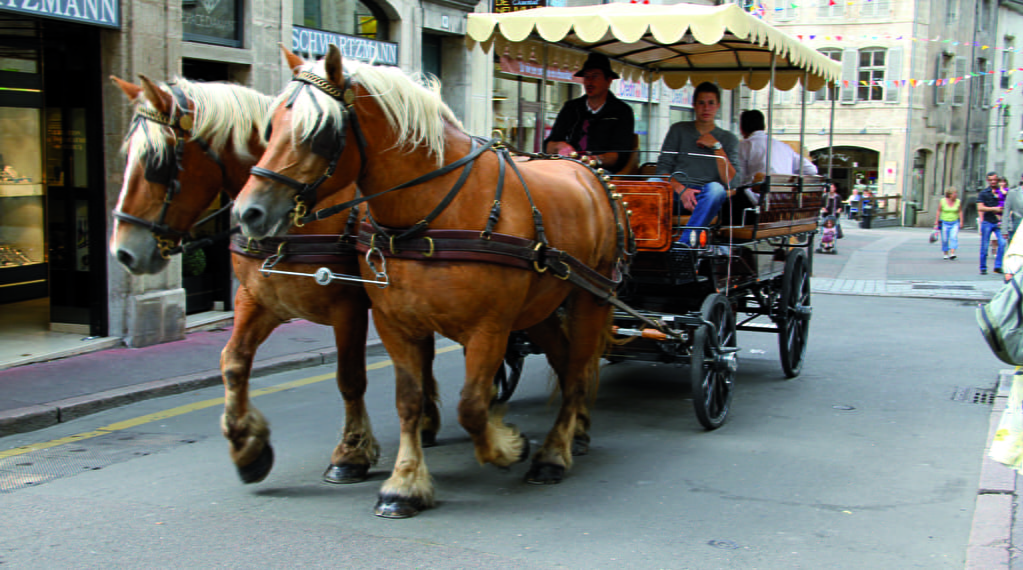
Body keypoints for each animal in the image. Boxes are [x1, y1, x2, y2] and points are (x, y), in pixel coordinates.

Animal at [107, 73, 439, 485]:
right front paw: (246, 446)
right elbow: (233, 362)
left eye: (158, 161)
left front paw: (351, 452)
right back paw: (427, 421)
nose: (123, 252)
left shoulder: (347, 306)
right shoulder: (257, 298)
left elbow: (350, 378)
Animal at [234, 44, 630, 515]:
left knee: (577, 371)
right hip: (543, 306)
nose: (248, 212)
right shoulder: (393, 321)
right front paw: (404, 482)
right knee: (565, 359)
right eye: (270, 126)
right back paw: (573, 436)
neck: (435, 209)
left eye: (321, 134)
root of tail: (588, 170)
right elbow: (408, 398)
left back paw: (553, 453)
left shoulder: (489, 328)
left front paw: (506, 445)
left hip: (593, 297)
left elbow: (472, 405)